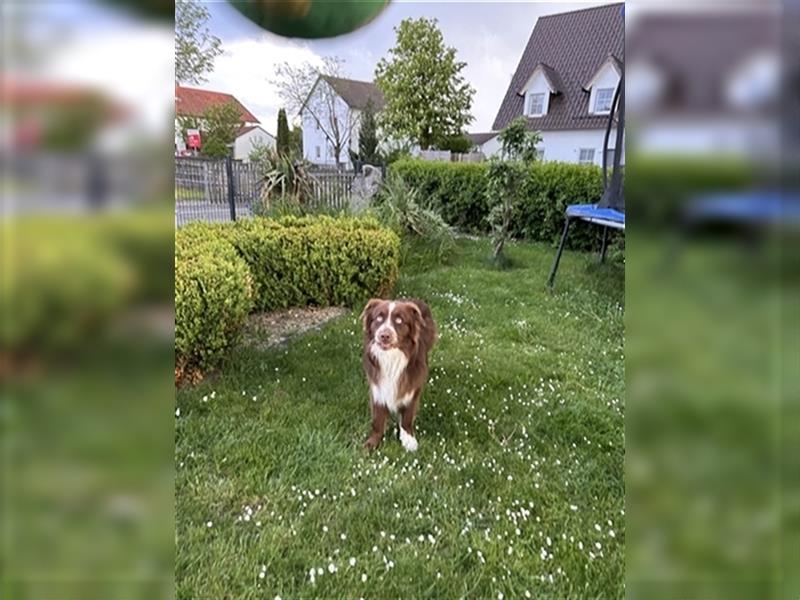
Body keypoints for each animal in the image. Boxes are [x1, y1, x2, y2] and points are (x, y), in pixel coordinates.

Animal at [362, 298, 438, 452]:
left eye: (399, 320)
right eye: (378, 318)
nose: (385, 336)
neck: (391, 358)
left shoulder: (413, 386)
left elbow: (407, 416)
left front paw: (408, 439)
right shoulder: (377, 386)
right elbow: (377, 419)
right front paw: (372, 442)